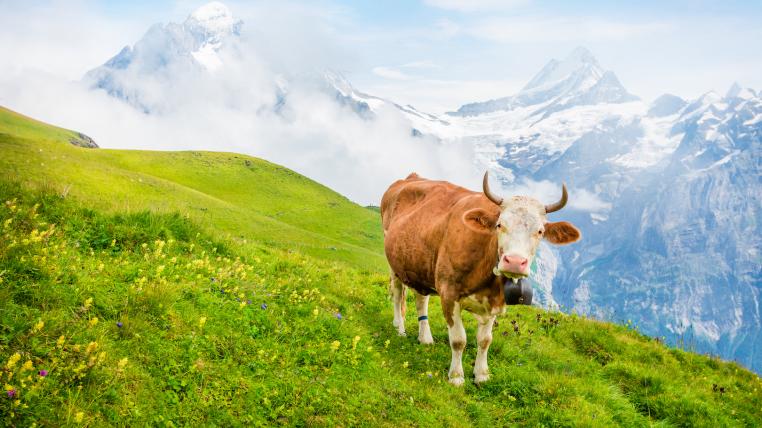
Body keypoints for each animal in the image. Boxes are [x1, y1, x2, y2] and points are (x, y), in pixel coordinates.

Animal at [380, 171, 581, 385]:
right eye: (500, 225)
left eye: (540, 231)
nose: (514, 262)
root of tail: (410, 177)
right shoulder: (448, 292)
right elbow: (458, 340)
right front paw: (456, 376)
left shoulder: (495, 302)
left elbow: (485, 340)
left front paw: (482, 374)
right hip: (394, 263)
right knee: (398, 295)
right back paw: (400, 328)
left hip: (420, 266)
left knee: (421, 299)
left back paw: (425, 337)